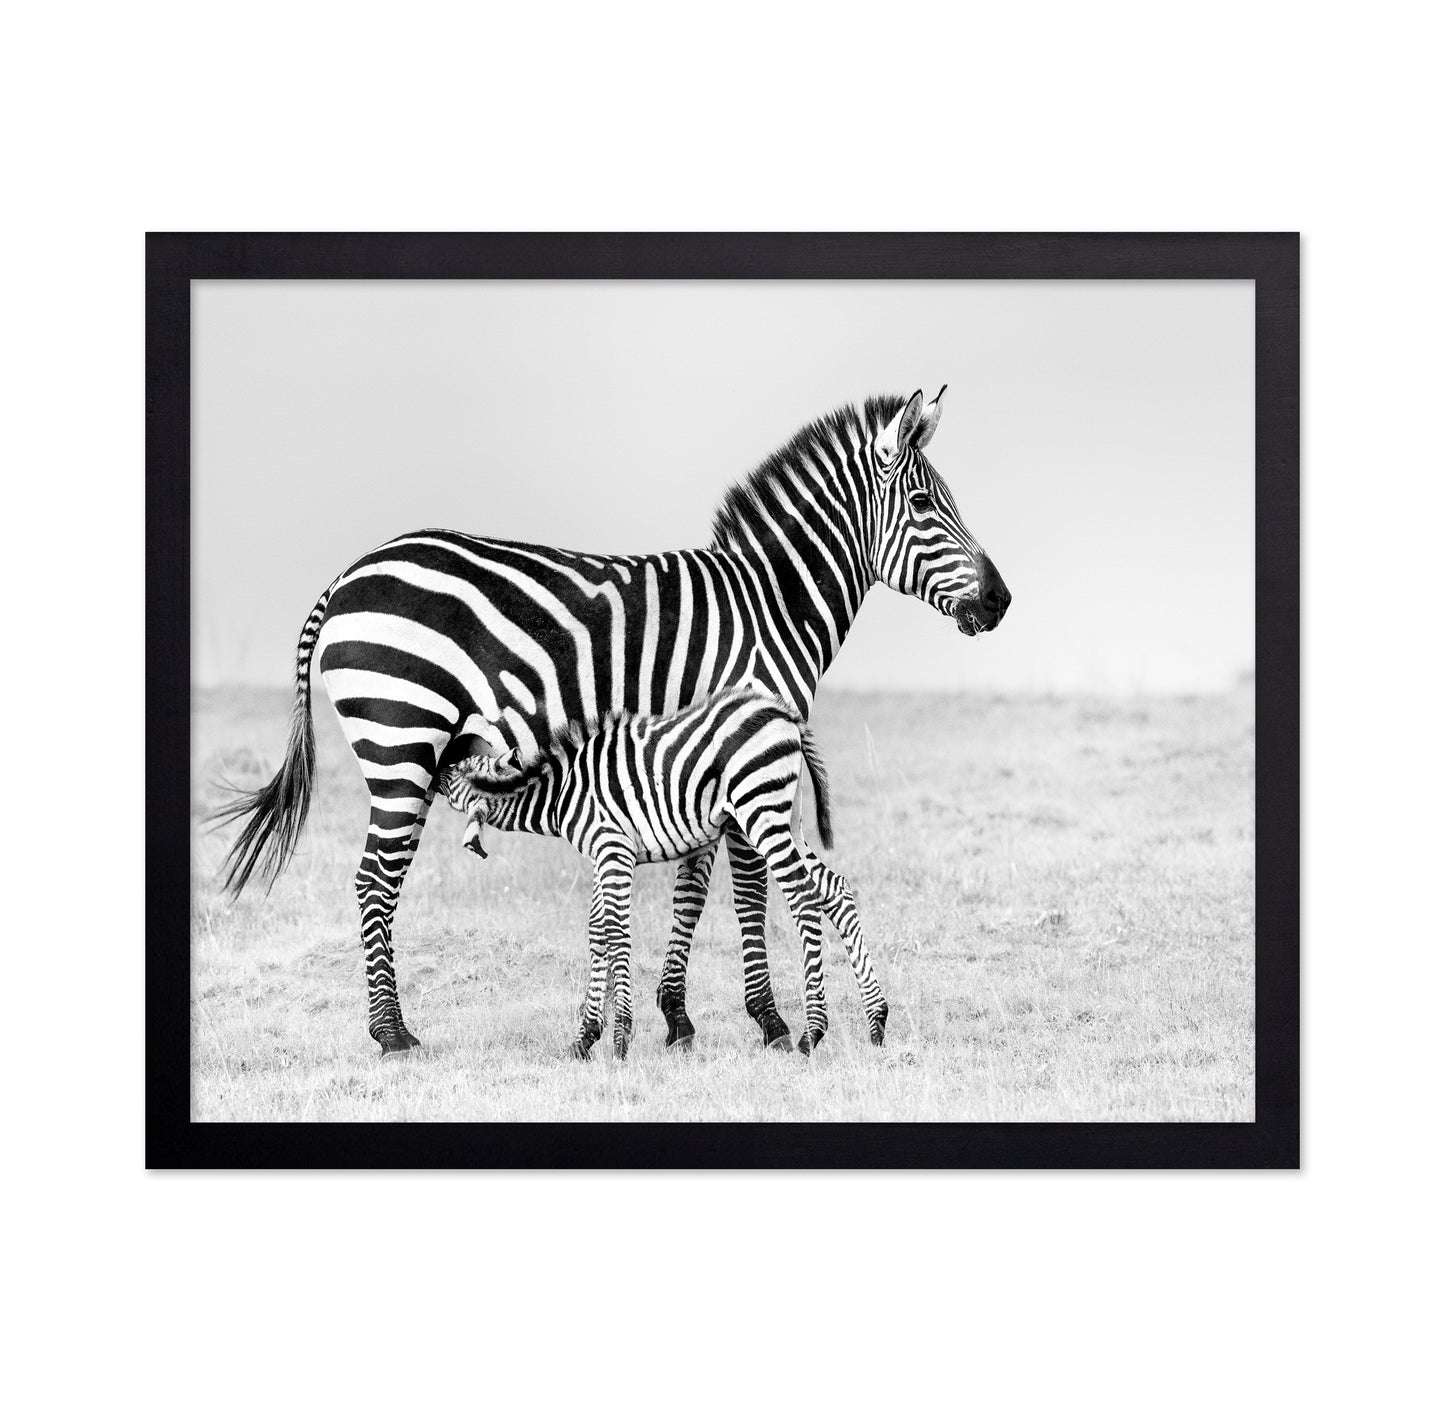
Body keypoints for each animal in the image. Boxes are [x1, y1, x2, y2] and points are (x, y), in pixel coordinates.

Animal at [439, 690, 887, 1058]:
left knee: (802, 896)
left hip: (761, 812)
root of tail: (783, 712)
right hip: (787, 817)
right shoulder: (605, 855)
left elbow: (615, 933)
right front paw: (584, 1038)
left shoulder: (613, 849)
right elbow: (597, 930)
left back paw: (813, 1032)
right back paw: (877, 1022)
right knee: (834, 889)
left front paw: (620, 1040)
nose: (438, 758)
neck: (564, 793)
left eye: (456, 769)